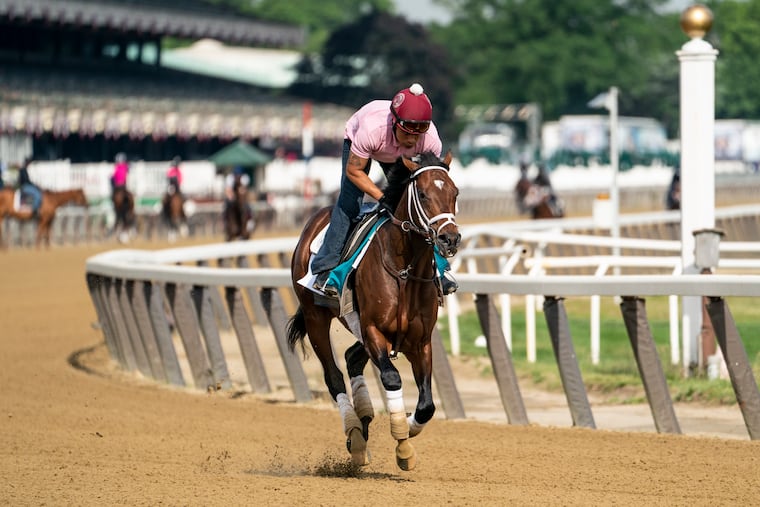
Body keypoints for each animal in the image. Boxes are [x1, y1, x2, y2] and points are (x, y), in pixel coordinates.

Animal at [286, 151, 460, 471]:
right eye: (424, 194)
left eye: (455, 193)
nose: (450, 239)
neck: (405, 270)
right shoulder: (373, 330)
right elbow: (391, 378)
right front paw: (402, 443)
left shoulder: (419, 341)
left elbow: (427, 406)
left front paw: (407, 429)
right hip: (316, 318)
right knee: (333, 376)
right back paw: (355, 434)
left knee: (352, 358)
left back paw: (364, 421)